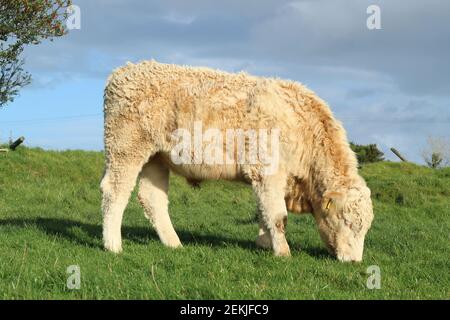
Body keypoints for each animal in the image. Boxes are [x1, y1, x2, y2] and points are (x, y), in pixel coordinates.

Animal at [102, 60, 372, 262]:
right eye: (345, 221)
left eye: (366, 227)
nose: (354, 261)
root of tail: (125, 70)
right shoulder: (268, 172)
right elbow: (278, 216)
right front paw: (283, 252)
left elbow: (264, 212)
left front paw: (264, 243)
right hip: (126, 148)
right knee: (114, 191)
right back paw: (113, 245)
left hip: (156, 158)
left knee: (152, 199)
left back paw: (174, 244)